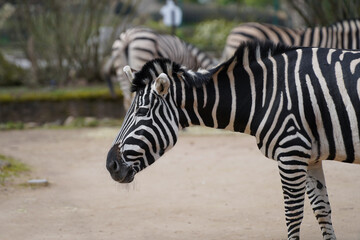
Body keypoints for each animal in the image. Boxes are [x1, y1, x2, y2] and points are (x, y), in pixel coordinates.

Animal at [105, 40, 360, 239]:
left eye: (142, 112)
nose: (110, 165)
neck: (264, 95)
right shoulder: (310, 157)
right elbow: (322, 211)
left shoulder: (291, 151)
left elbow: (293, 214)